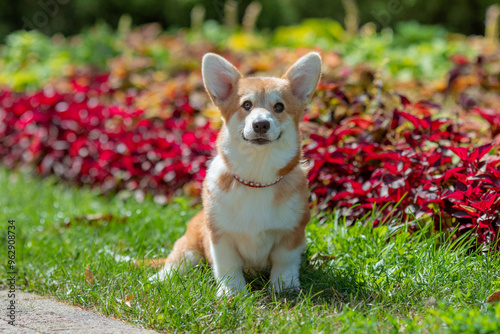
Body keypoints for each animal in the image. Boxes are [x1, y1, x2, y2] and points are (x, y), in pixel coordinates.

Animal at [149, 51, 320, 296]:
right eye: (246, 105)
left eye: (279, 107)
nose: (261, 124)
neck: (257, 178)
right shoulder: (221, 236)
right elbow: (228, 266)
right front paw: (233, 293)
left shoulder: (293, 233)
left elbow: (284, 262)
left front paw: (284, 287)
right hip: (188, 250)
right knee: (175, 264)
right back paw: (159, 279)